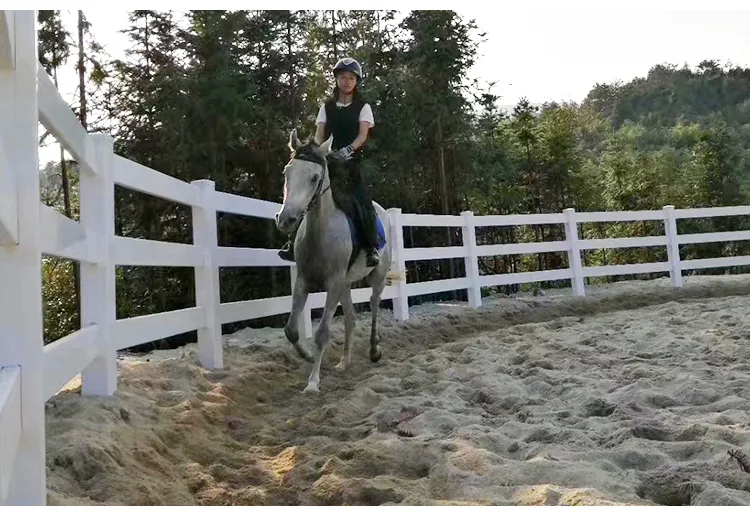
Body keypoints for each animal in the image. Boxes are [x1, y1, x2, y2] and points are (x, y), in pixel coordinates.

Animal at [275, 129, 396, 394]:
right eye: (286, 172)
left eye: (314, 177)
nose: (286, 219)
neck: (320, 234)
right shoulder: (303, 281)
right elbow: (291, 330)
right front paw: (308, 356)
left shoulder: (332, 283)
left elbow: (322, 333)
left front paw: (312, 382)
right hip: (346, 285)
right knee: (350, 318)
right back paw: (344, 361)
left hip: (376, 277)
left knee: (374, 305)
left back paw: (374, 350)